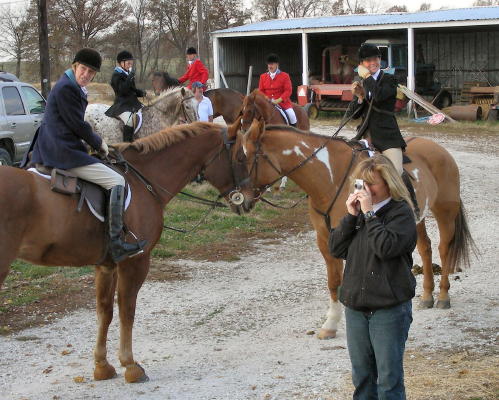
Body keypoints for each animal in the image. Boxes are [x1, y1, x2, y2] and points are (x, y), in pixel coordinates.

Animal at [0, 122, 254, 384]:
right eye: (241, 156)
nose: (249, 200)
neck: (143, 178)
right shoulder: (136, 261)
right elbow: (127, 310)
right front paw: (130, 366)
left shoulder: (106, 265)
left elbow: (105, 312)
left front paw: (102, 366)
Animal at [240, 119, 478, 340]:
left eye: (247, 157)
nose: (241, 200)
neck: (331, 176)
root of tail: (440, 150)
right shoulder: (325, 238)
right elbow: (334, 281)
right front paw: (330, 324)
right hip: (416, 219)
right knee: (425, 248)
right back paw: (427, 296)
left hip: (445, 212)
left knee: (444, 249)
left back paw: (443, 297)